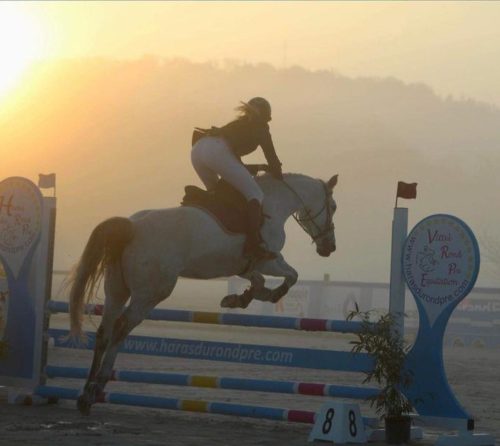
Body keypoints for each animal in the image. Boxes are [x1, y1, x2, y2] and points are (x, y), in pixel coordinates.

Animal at [68, 172, 338, 414]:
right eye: (333, 207)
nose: (329, 248)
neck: (274, 201)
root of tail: (132, 226)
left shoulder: (242, 265)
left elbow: (258, 281)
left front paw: (237, 299)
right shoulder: (269, 260)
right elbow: (291, 276)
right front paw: (269, 296)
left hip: (116, 289)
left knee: (104, 331)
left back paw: (85, 396)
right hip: (152, 292)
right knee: (122, 327)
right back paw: (98, 385)